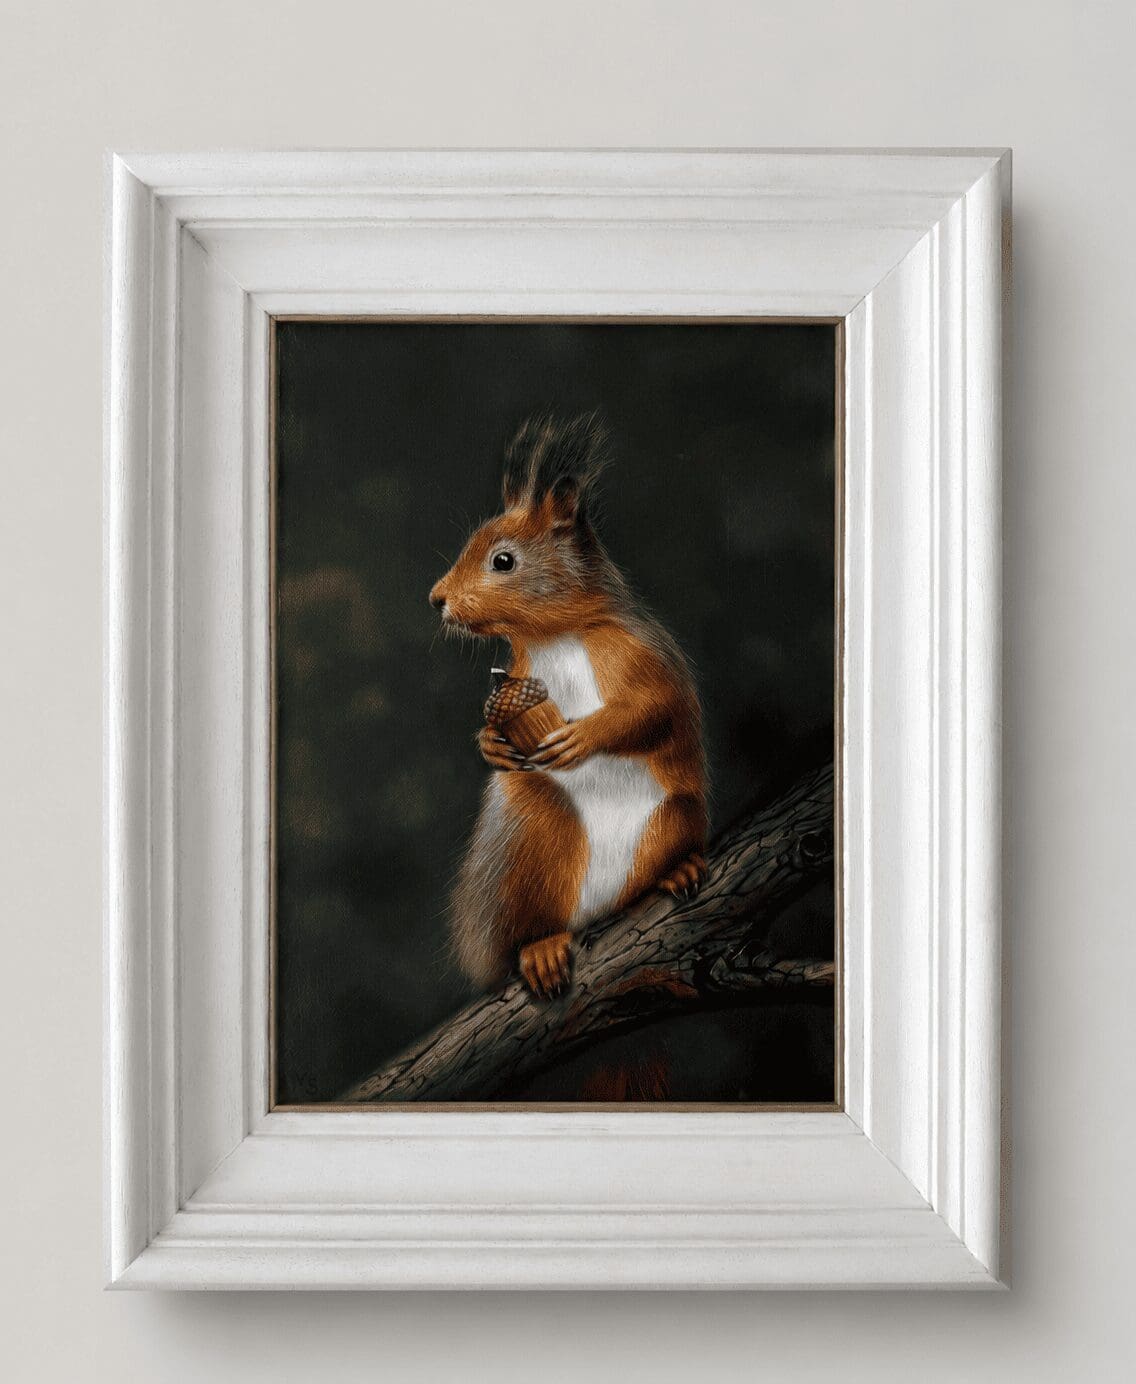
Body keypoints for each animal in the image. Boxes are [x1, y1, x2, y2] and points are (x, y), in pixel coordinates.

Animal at [429, 414, 708, 1004]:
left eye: (503, 560)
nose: (437, 599)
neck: (554, 636)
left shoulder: (642, 656)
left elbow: (653, 709)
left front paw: (584, 736)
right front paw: (490, 744)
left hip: (676, 816)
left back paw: (676, 871)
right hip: (529, 839)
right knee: (524, 929)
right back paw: (539, 948)